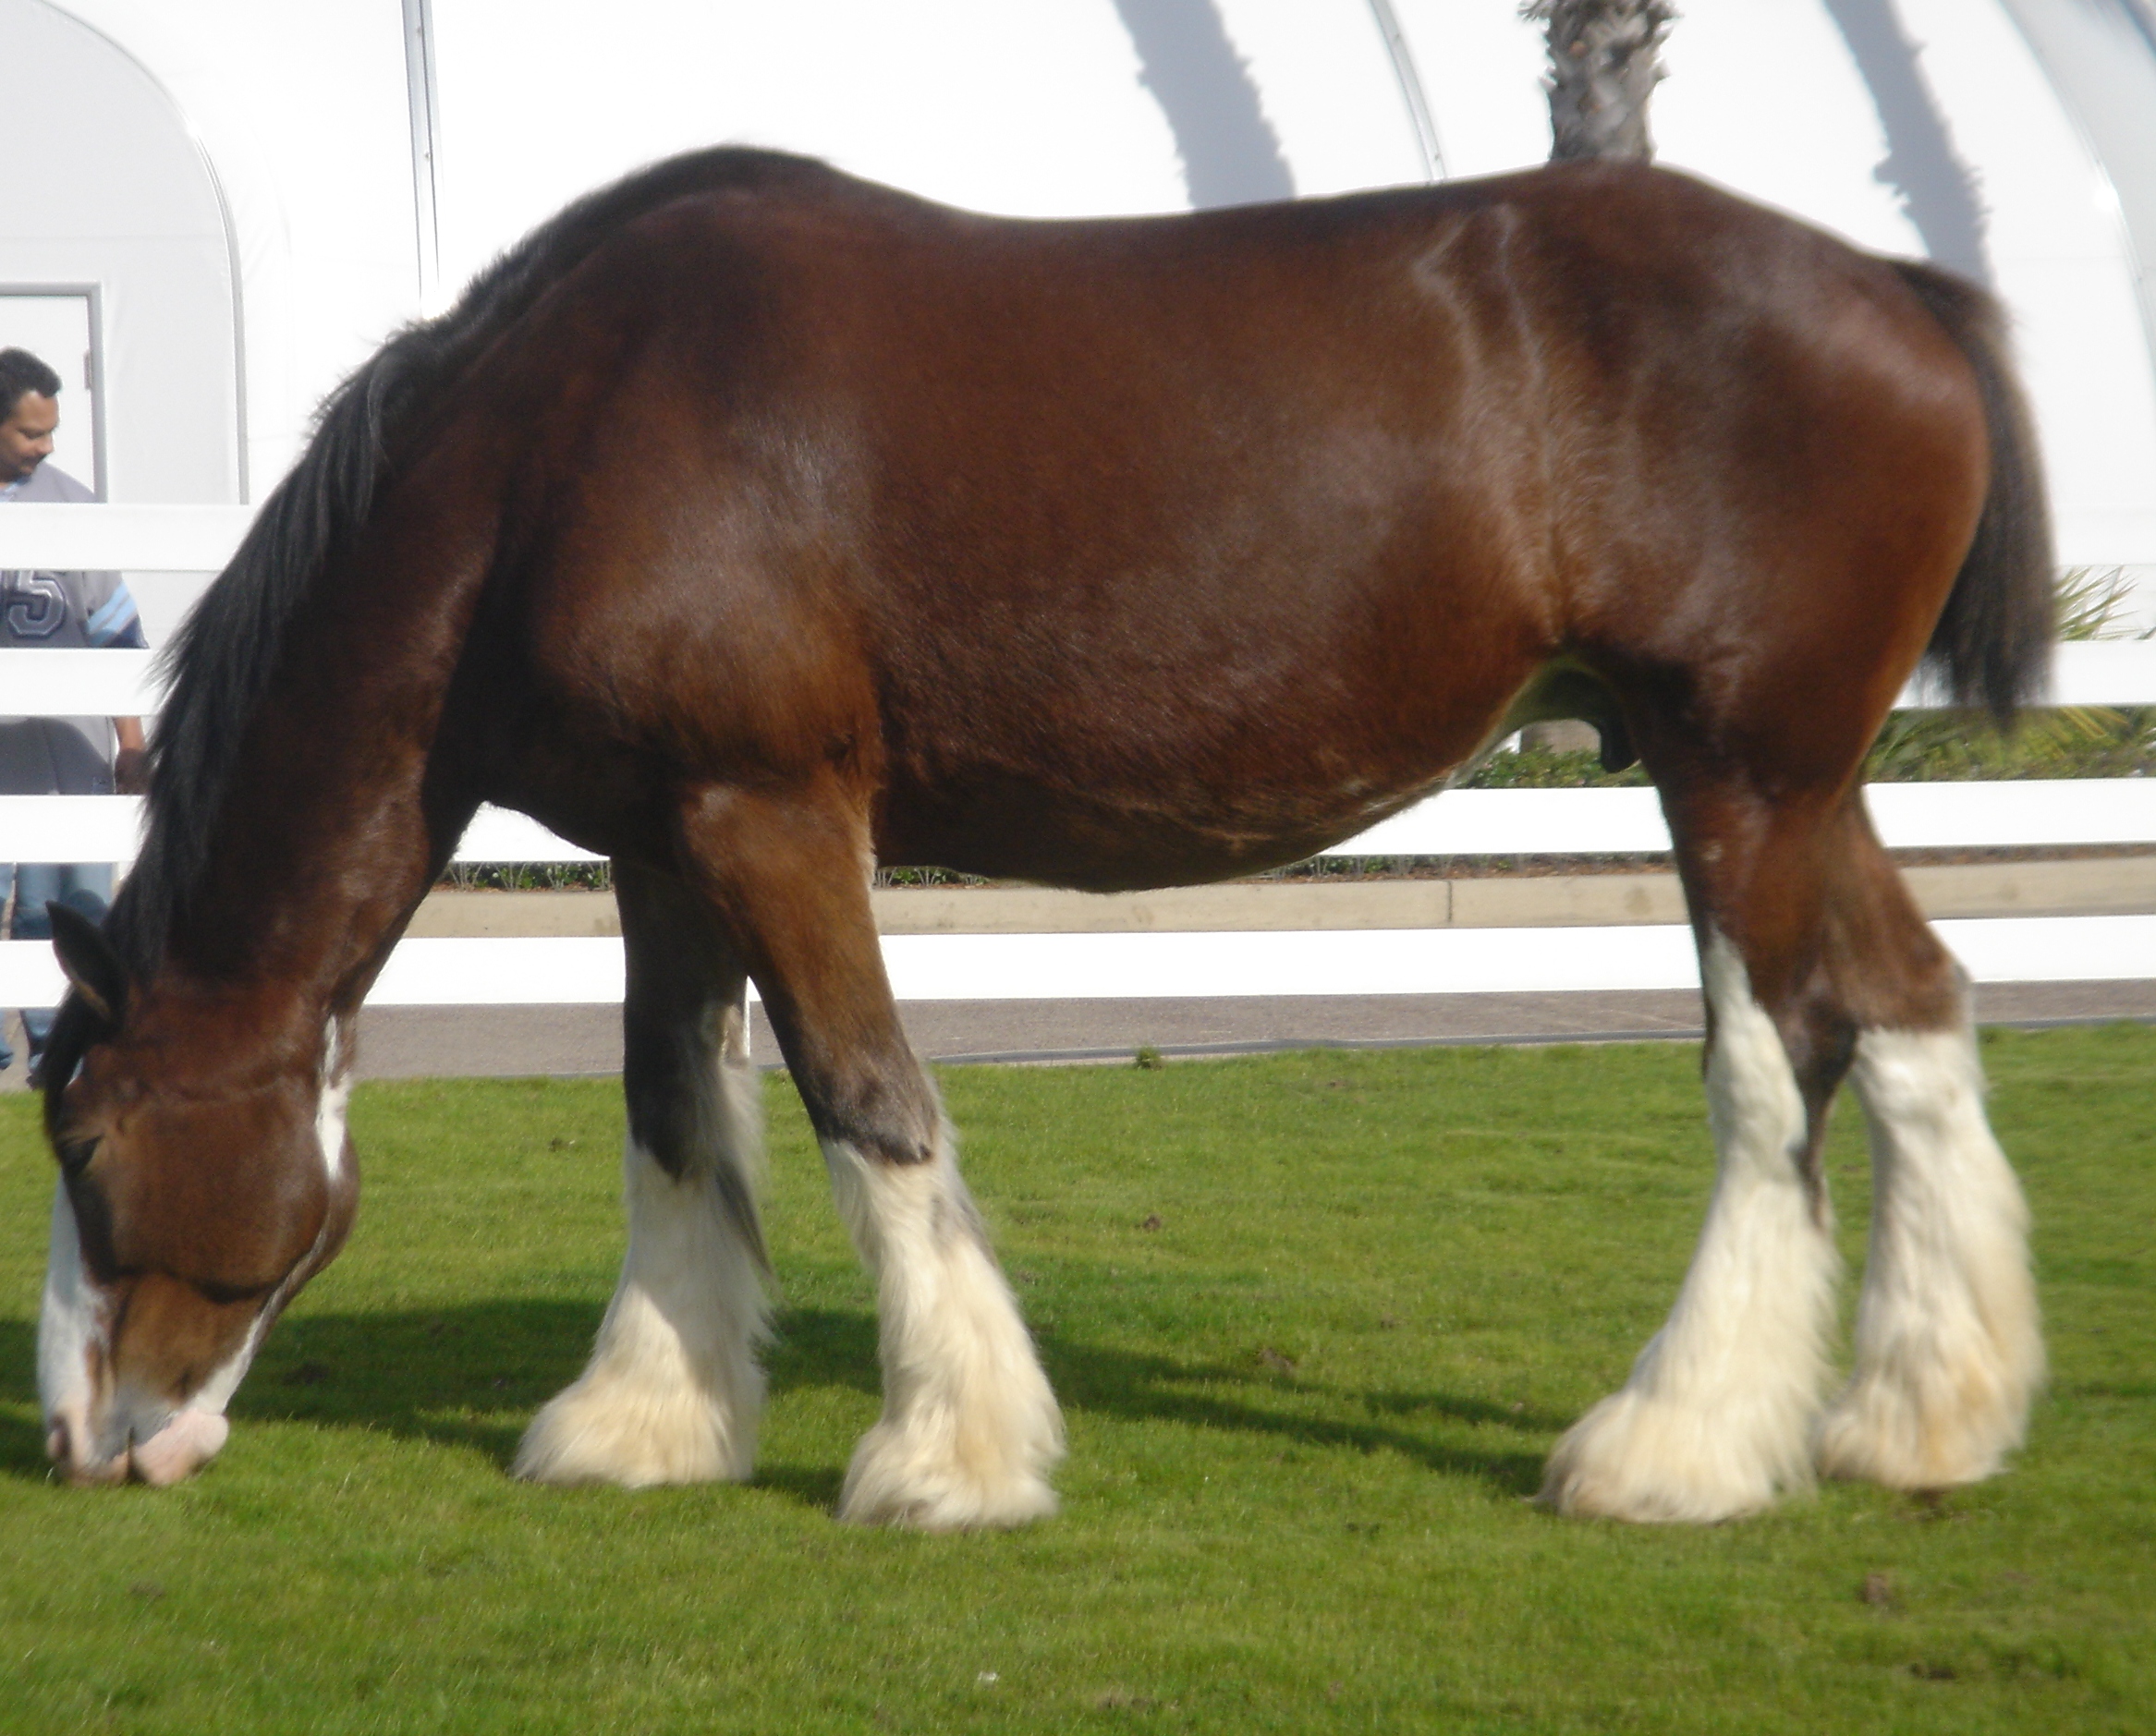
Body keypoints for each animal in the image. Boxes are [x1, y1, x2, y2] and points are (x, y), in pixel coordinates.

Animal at [42, 155, 2043, 1526]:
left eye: (81, 1137)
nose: (79, 1433)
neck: (562, 440)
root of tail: (1888, 285)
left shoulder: (771, 813)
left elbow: (867, 1102)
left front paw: (945, 1453)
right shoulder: (661, 843)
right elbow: (673, 1110)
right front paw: (644, 1419)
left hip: (1732, 773)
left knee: (1779, 1058)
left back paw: (1675, 1442)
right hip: (1803, 783)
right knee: (1912, 1010)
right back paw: (1917, 1415)